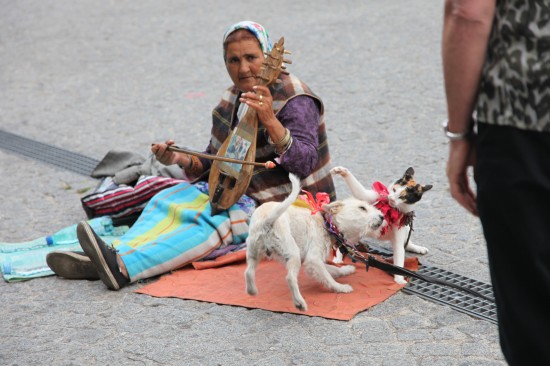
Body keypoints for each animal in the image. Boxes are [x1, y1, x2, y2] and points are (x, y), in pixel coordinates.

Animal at [246, 173, 384, 310]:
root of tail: (267, 220)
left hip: (254, 253)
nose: (382, 217)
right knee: (290, 278)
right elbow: (328, 277)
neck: (327, 223)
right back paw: (299, 303)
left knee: (248, 272)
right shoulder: (313, 260)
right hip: (293, 254)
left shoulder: (312, 262)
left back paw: (251, 290)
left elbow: (332, 269)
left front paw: (346, 270)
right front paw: (341, 287)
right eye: (362, 208)